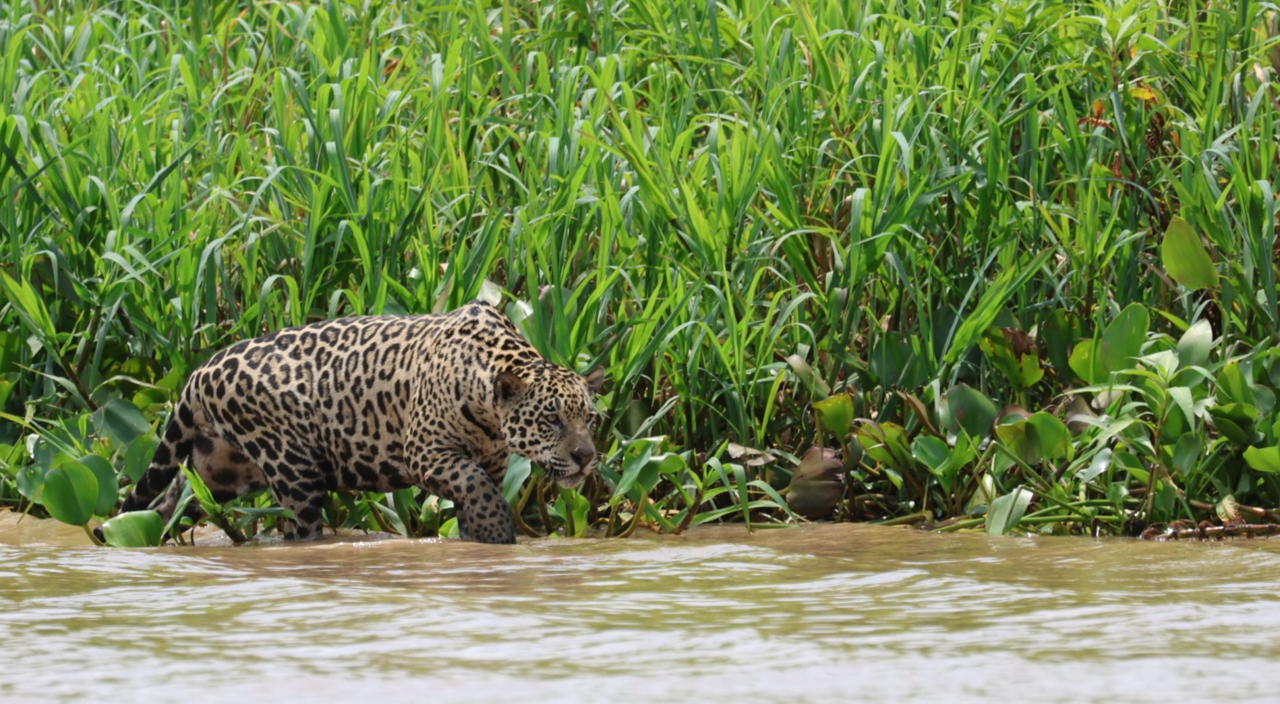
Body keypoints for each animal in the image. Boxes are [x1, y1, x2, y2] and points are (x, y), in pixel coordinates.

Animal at [112, 300, 604, 544]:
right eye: (552, 420)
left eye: (588, 419)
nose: (586, 457)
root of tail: (201, 369)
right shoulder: (427, 453)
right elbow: (476, 488)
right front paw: (500, 534)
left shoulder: (494, 463)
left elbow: (475, 496)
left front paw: (479, 538)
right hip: (293, 472)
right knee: (299, 528)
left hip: (217, 472)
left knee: (163, 508)